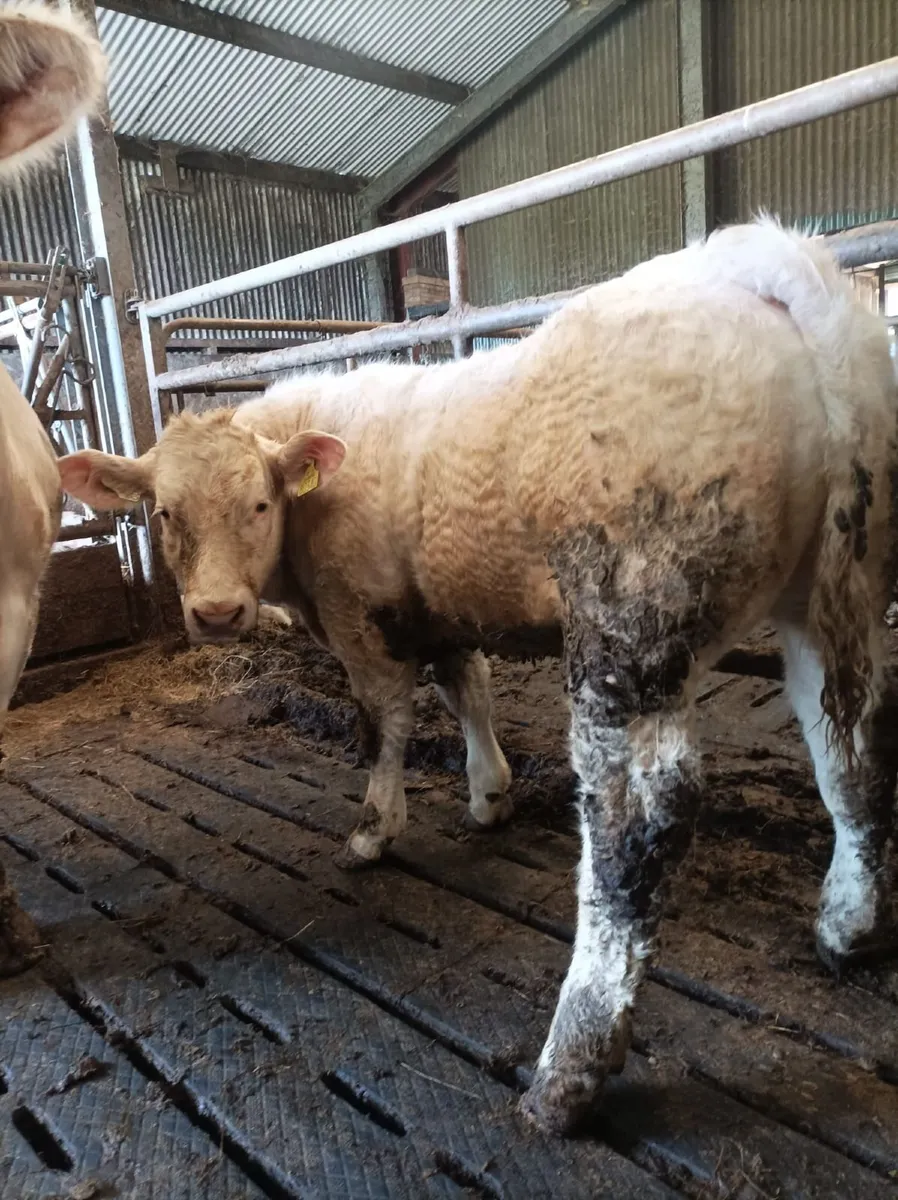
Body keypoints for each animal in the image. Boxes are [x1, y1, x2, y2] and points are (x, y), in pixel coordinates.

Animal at [59, 219, 898, 1135]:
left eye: (259, 505)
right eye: (164, 512)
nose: (214, 613)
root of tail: (772, 266)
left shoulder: (359, 619)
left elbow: (383, 722)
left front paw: (374, 831)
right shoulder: (436, 607)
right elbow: (468, 689)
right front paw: (488, 793)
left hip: (627, 623)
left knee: (639, 821)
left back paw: (569, 1068)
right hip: (833, 595)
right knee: (852, 750)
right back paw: (847, 929)